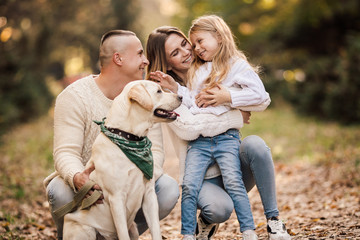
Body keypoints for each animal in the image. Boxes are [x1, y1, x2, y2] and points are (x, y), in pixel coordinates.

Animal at [62, 79, 183, 239]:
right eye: (159, 91)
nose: (181, 96)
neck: (128, 137)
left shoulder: (149, 195)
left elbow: (156, 230)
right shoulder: (116, 198)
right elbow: (123, 234)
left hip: (133, 228)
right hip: (84, 229)